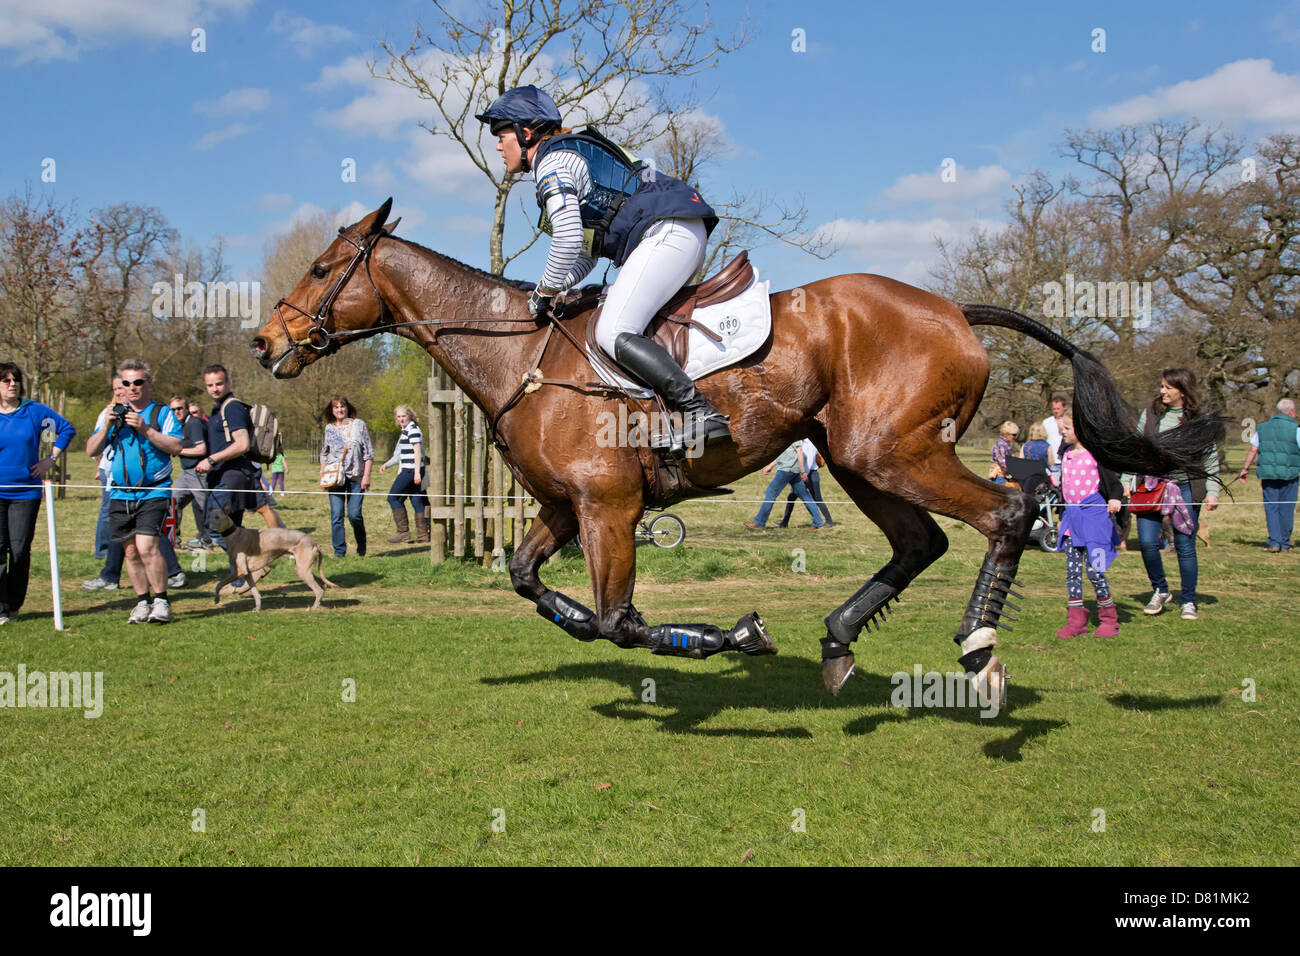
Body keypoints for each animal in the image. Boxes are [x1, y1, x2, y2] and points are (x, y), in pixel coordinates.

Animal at [210, 509, 338, 613]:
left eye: (217, 517)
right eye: (209, 516)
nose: (207, 525)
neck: (234, 534)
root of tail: (314, 543)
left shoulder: (240, 571)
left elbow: (219, 584)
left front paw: (216, 599)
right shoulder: (248, 574)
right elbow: (256, 594)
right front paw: (257, 609)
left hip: (303, 571)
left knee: (319, 590)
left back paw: (312, 608)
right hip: (305, 569)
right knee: (322, 585)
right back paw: (319, 603)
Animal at [250, 200, 1216, 712]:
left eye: (324, 268)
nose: (263, 344)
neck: (520, 351)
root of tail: (952, 310)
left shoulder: (607, 508)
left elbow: (620, 619)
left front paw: (733, 636)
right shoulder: (566, 508)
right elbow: (533, 584)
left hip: (889, 452)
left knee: (1009, 512)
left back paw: (979, 651)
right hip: (856, 456)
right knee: (922, 542)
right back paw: (837, 641)